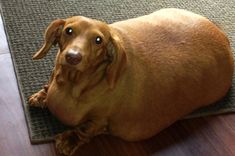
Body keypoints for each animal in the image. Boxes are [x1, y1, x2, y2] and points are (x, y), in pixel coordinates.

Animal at [28, 8, 233, 155]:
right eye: (68, 31)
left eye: (98, 40)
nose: (72, 57)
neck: (71, 84)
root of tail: (223, 36)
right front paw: (42, 95)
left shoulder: (101, 121)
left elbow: (86, 129)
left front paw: (68, 140)